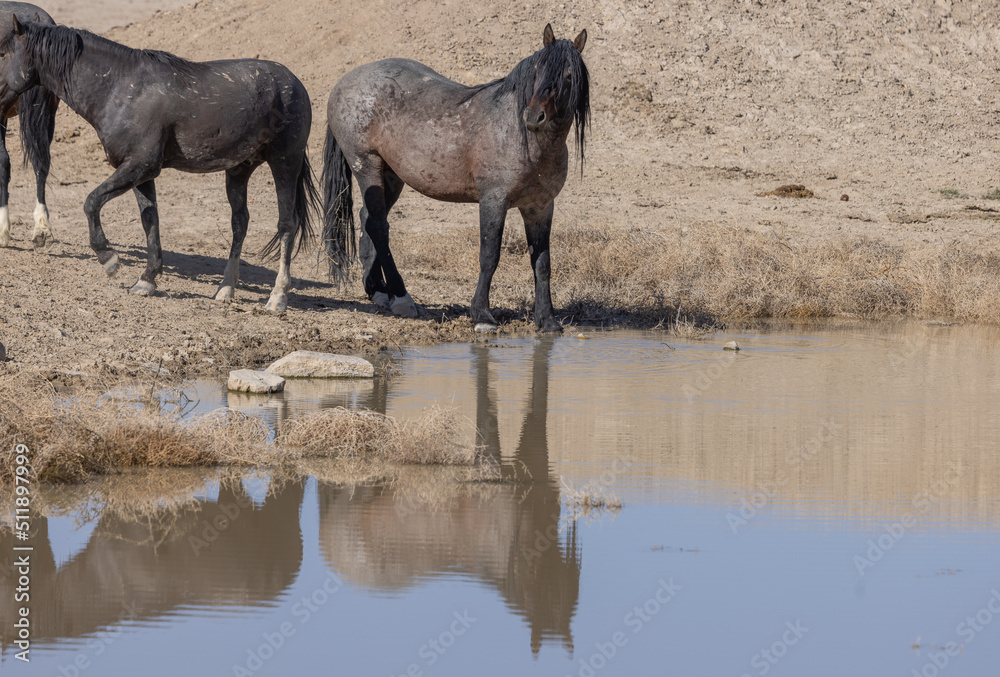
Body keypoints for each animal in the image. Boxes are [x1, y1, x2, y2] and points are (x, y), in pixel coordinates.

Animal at [0, 17, 316, 312]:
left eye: (3, 53)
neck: (120, 88)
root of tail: (294, 83)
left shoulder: (140, 166)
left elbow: (91, 203)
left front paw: (109, 258)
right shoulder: (141, 174)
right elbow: (150, 220)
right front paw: (147, 279)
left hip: (285, 163)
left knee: (286, 224)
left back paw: (277, 297)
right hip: (239, 169)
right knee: (240, 223)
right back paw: (226, 288)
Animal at [321, 23, 589, 332]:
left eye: (568, 76)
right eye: (537, 70)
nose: (534, 117)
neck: (522, 137)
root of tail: (344, 81)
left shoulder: (540, 207)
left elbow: (542, 263)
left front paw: (547, 320)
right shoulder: (493, 201)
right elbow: (489, 256)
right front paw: (482, 314)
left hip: (391, 176)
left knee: (368, 220)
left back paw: (378, 290)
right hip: (367, 165)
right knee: (378, 226)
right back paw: (402, 298)